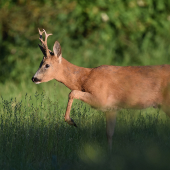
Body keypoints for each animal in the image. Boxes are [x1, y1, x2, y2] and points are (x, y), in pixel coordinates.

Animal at [32, 28, 170, 150]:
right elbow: (109, 134)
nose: (34, 78)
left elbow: (72, 92)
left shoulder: (101, 98)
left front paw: (71, 121)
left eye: (47, 65)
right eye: (39, 63)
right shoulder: (111, 108)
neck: (85, 78)